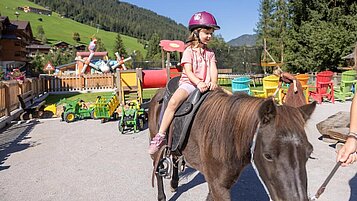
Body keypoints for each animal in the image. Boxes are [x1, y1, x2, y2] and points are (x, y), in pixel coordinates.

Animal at [149, 88, 316, 201]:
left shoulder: (218, 184)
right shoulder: (218, 186)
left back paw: (174, 183)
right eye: (267, 155)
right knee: (157, 169)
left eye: (309, 153)